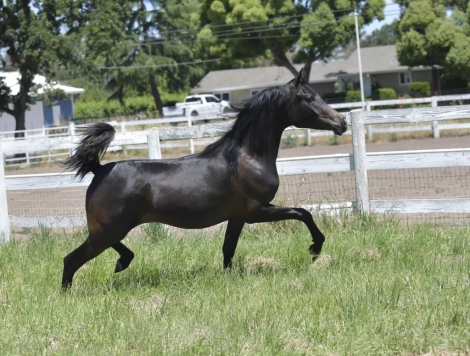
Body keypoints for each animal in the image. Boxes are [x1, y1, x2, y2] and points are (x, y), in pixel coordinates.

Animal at [61, 62, 346, 288]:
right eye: (308, 98)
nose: (341, 122)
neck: (246, 157)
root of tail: (99, 169)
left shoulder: (238, 216)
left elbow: (228, 249)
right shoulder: (255, 211)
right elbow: (303, 213)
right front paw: (315, 247)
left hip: (111, 229)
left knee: (106, 249)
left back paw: (122, 262)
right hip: (108, 229)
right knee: (71, 259)